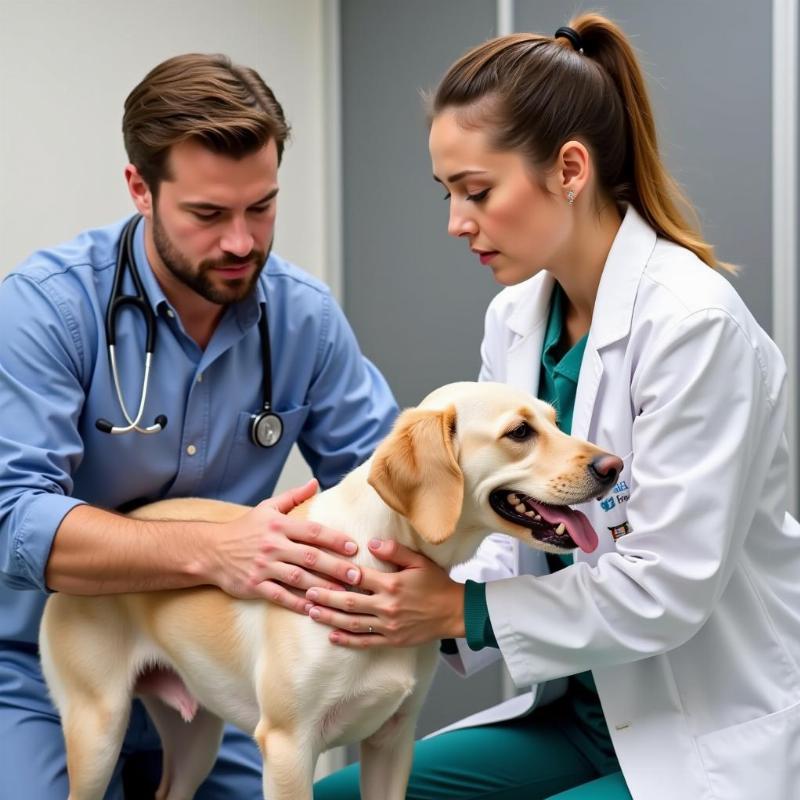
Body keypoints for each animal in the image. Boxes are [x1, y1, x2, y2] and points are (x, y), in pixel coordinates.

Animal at [40, 382, 620, 800]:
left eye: (555, 420)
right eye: (519, 432)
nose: (612, 466)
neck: (378, 549)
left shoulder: (392, 742)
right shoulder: (287, 748)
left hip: (196, 738)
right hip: (98, 731)